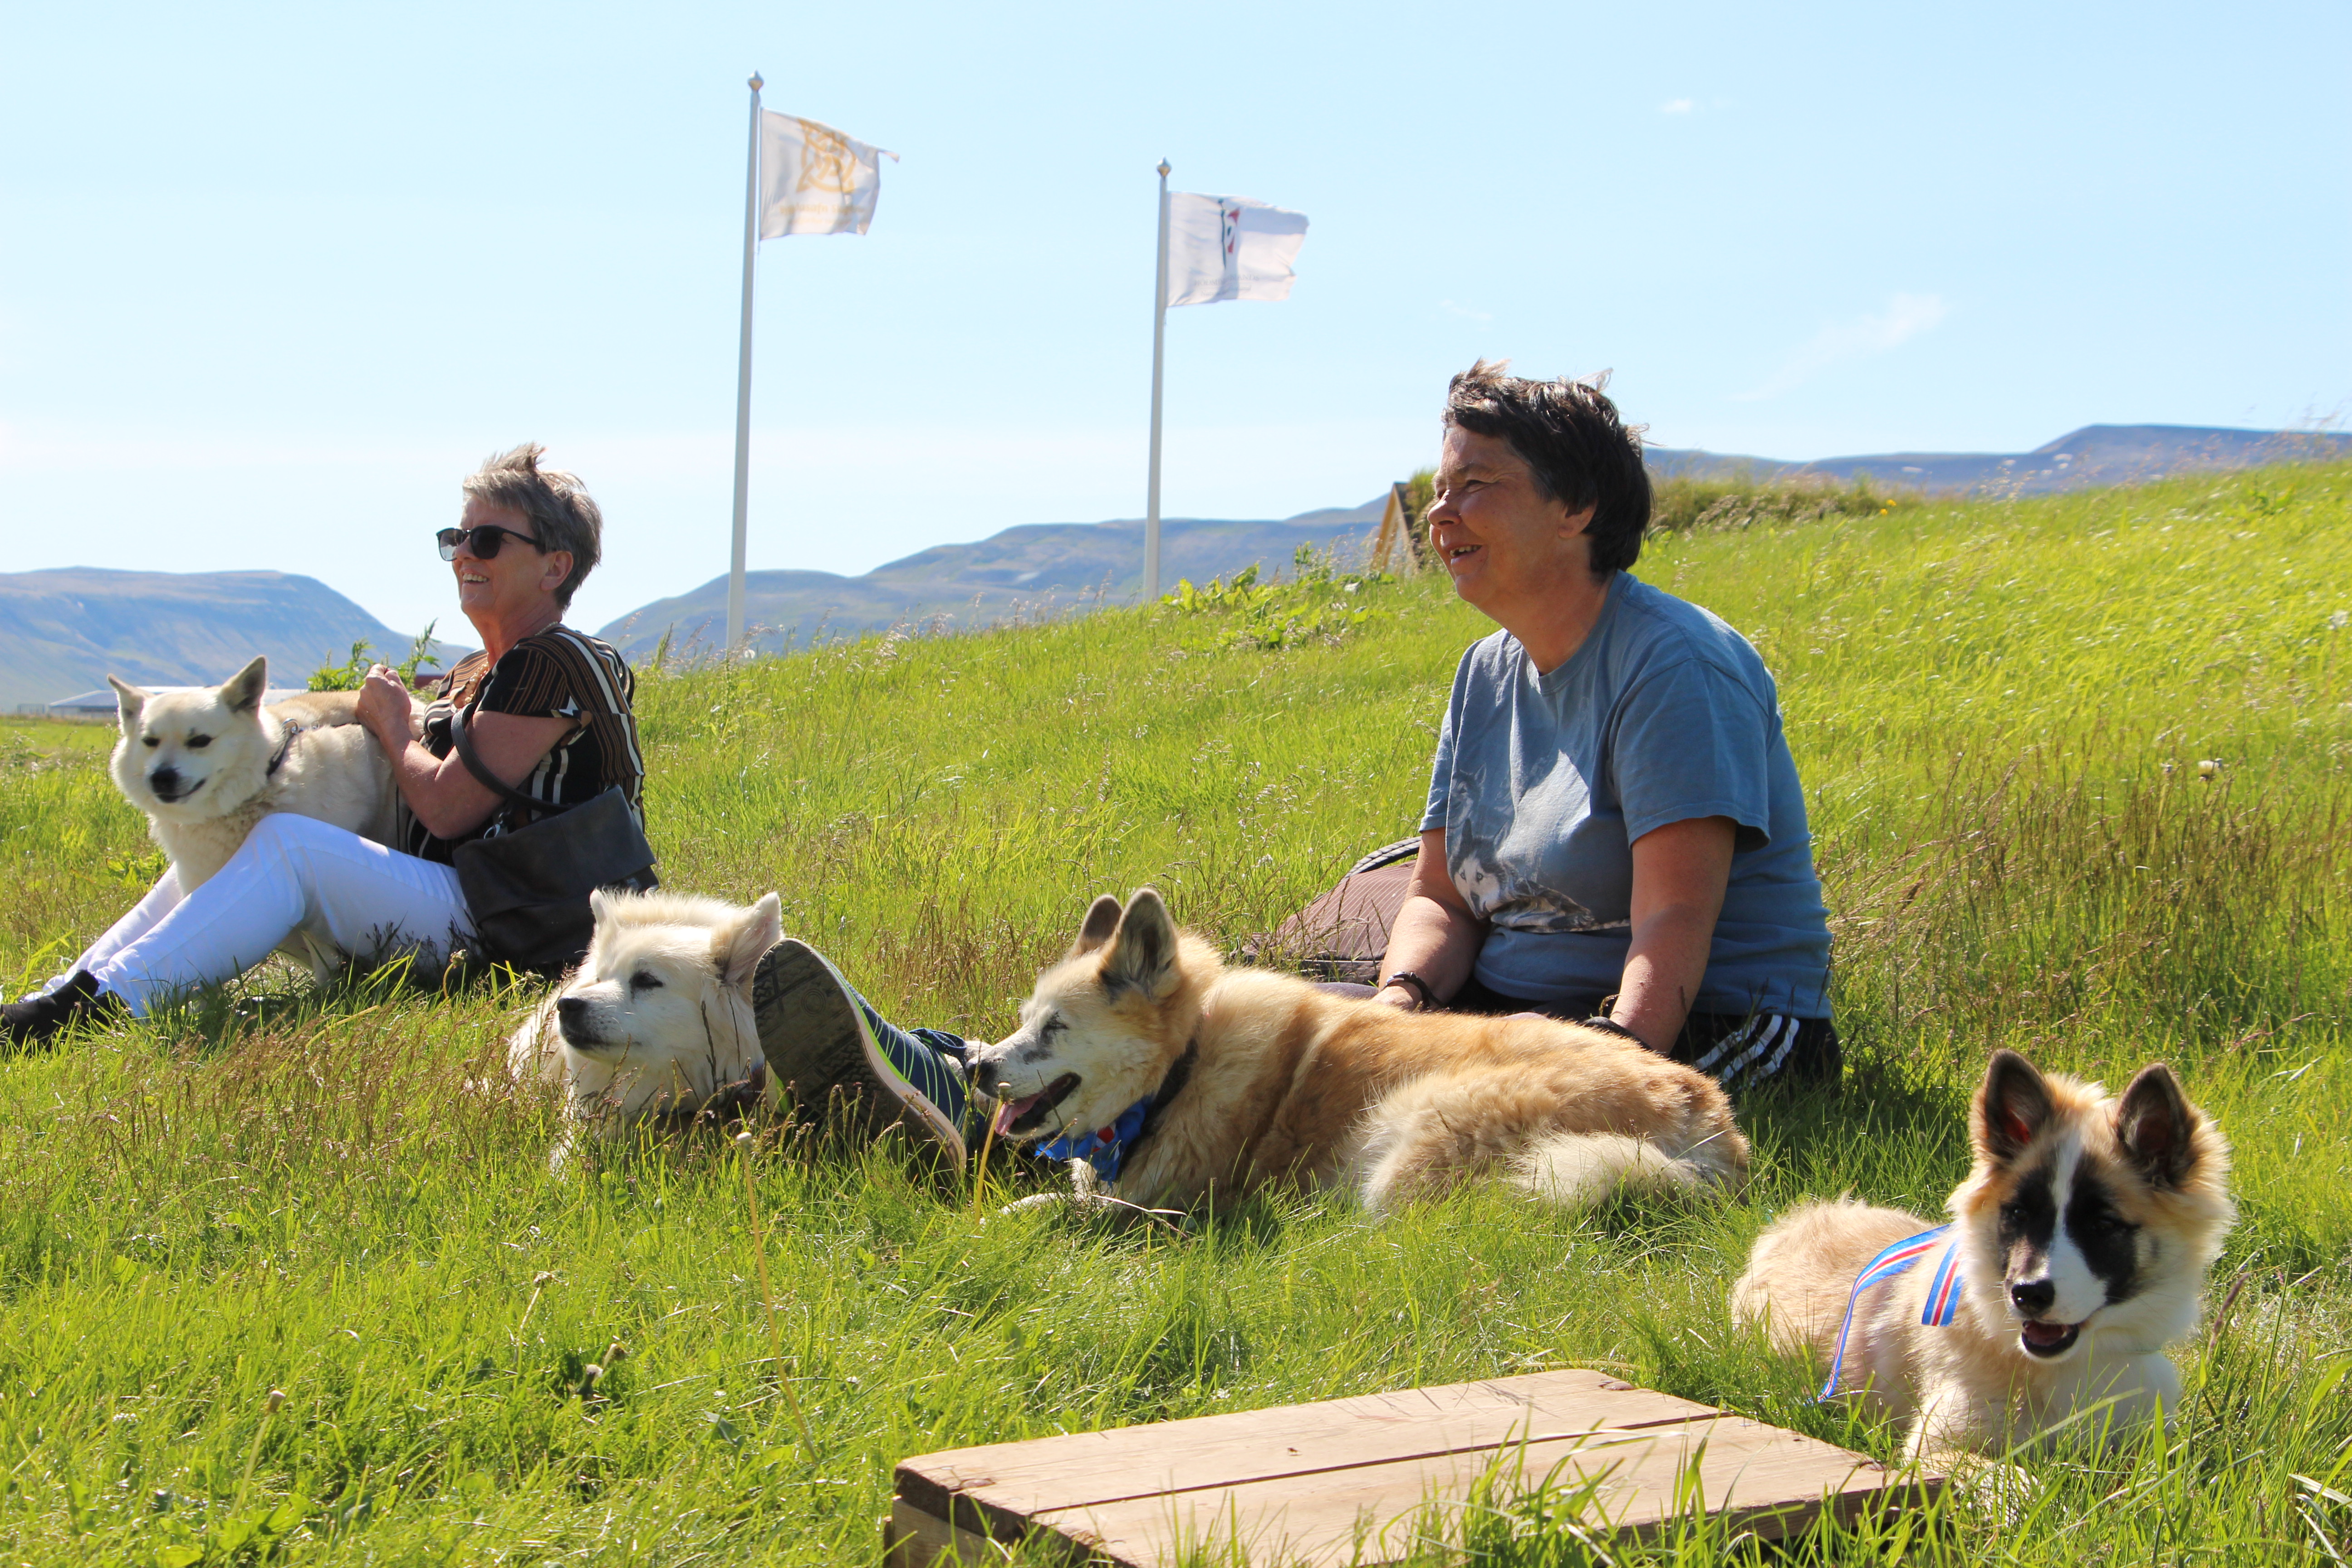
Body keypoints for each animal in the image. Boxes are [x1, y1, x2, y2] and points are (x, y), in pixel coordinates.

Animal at [964, 893, 1759, 1213]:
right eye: (1022, 1021)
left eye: (1056, 1027)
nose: (976, 1067)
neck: (1181, 1069)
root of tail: (1706, 1121)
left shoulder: (1167, 1200)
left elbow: (1065, 1209)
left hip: (1421, 1131)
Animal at [1740, 1048, 2230, 1467]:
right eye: (2018, 1214)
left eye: (2104, 1224)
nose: (2028, 1295)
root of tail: (1793, 1222)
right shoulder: (1937, 1445)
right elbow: (2017, 1481)